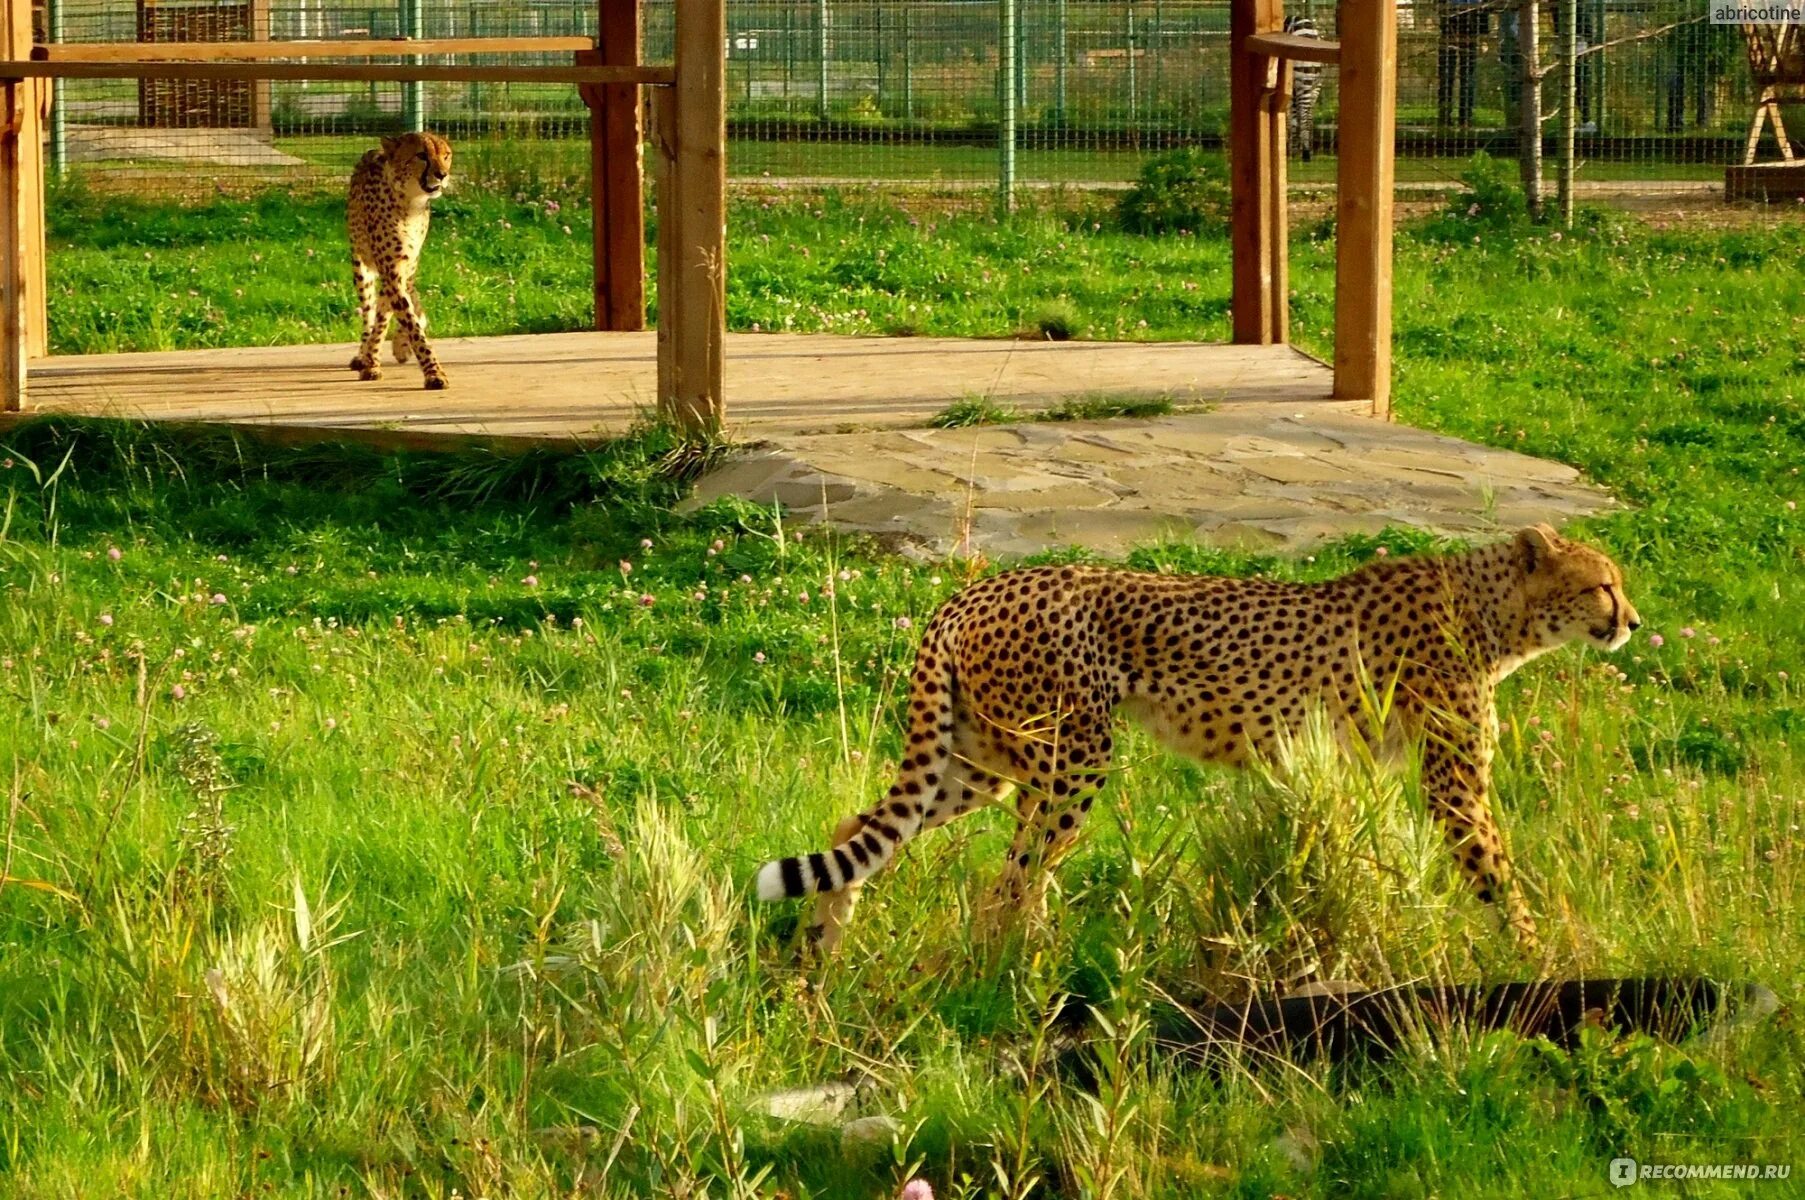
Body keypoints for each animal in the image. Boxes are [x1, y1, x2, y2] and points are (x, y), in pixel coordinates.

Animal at [346, 133, 454, 391]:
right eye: (422, 155)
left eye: (446, 155)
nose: (442, 174)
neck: (410, 203)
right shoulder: (391, 269)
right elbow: (408, 323)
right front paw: (433, 373)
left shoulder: (404, 268)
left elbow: (396, 317)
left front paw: (394, 350)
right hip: (361, 268)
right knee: (368, 314)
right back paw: (364, 354)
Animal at [754, 523, 1646, 952]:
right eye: (1602, 585)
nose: (1632, 622)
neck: (1492, 610)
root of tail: (972, 592)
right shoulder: (1453, 784)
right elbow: (1496, 870)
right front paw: (1536, 956)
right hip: (1069, 758)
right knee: (1008, 883)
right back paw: (1027, 974)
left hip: (982, 761)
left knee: (861, 828)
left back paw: (821, 957)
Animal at [1285, 14, 1328, 162]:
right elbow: (1297, 117)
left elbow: (1292, 118)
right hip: (1312, 82)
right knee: (1307, 116)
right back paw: (1306, 152)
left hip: (1303, 79)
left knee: (1303, 115)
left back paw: (1305, 153)